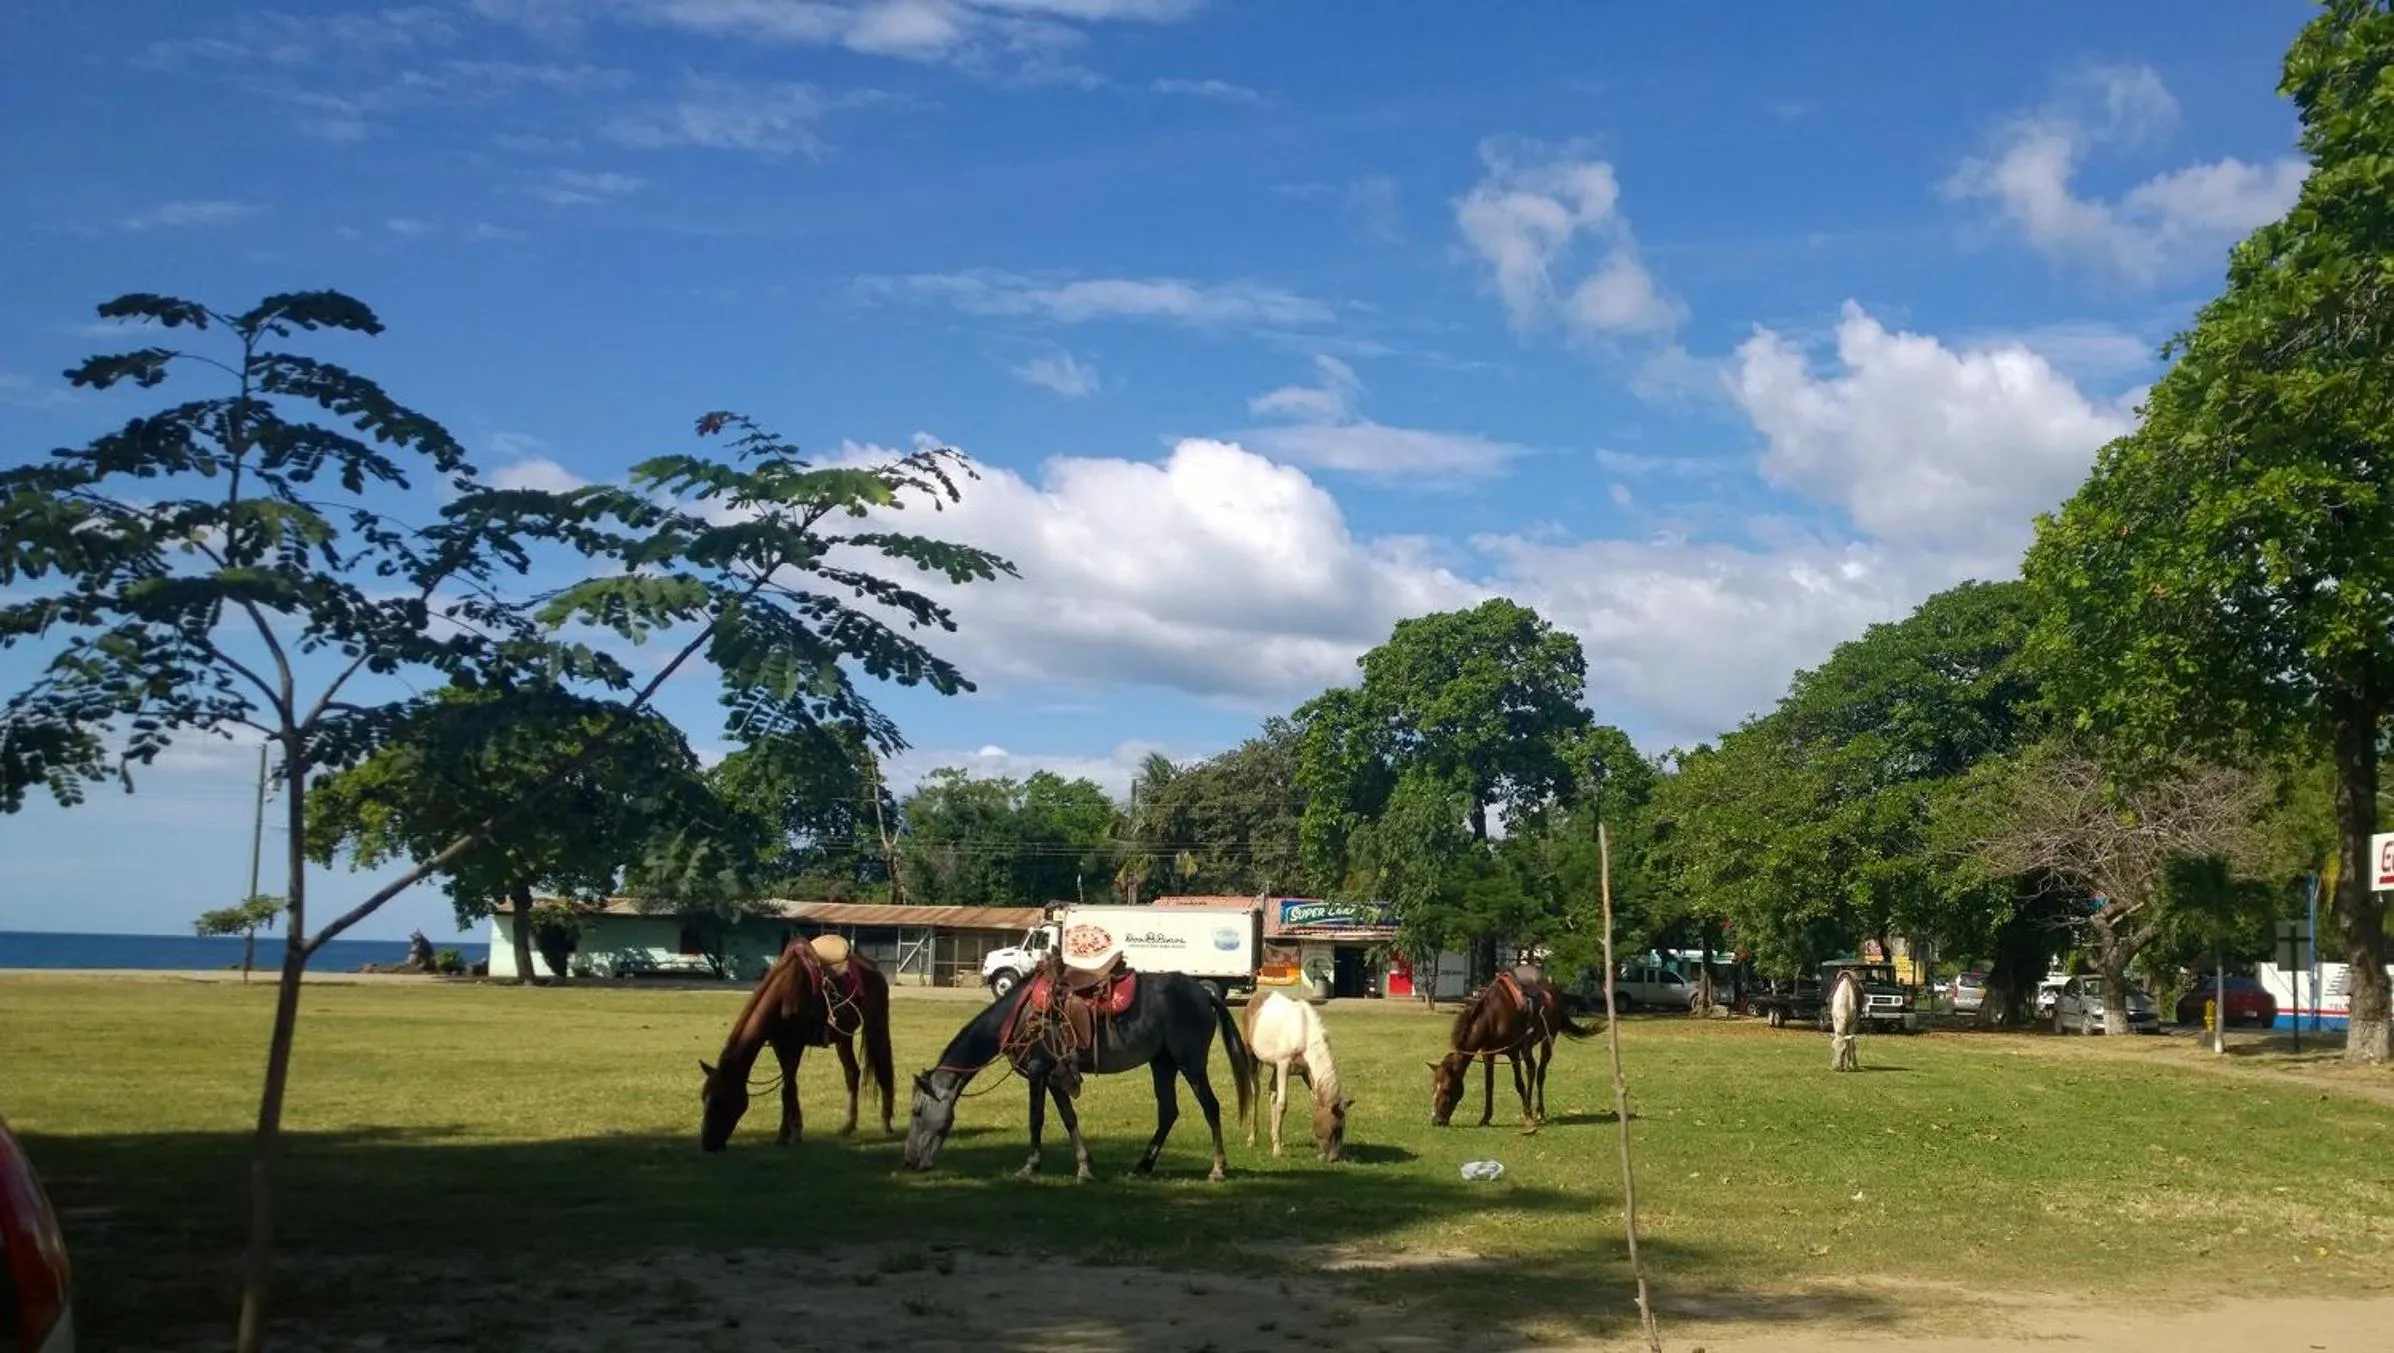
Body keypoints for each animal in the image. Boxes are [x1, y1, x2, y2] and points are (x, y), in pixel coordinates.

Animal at [697, 935, 895, 1152]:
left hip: (876, 1024)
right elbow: (790, 1087)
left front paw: (785, 1135)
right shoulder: (779, 1044)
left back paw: (886, 1123)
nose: (707, 1144)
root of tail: (874, 971)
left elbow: (787, 1089)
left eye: (719, 1101)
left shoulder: (795, 1045)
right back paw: (848, 1126)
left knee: (883, 1069)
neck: (783, 994)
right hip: (844, 1036)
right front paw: (793, 1132)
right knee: (852, 1073)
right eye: (703, 1098)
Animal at [901, 958, 1257, 1182]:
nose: (910, 1161)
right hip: (1163, 1064)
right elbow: (1069, 1118)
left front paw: (1030, 1166)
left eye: (917, 1111)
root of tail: (1205, 995)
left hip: (1190, 1062)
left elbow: (1036, 1118)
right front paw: (1085, 1168)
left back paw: (1217, 1168)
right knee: (1168, 1112)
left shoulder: (1038, 1071)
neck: (1020, 1015)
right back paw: (1142, 1166)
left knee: (1210, 1106)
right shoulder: (1055, 1077)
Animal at [1242, 991, 1352, 1161]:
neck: (1304, 1032)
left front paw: (1278, 1142)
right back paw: (1252, 1138)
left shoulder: (1306, 1072)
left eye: (1343, 1128)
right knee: (1256, 1093)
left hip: (1275, 1067)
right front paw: (1277, 1151)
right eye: (1334, 1128)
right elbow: (1282, 1104)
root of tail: (1254, 998)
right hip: (1252, 1057)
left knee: (1272, 1092)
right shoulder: (1284, 1066)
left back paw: (1276, 1135)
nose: (1333, 1158)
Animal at [1429, 968, 1596, 1130]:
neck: (1494, 1017)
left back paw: (1539, 1112)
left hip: (1548, 1040)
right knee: (1531, 1069)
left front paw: (1528, 1118)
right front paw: (1485, 1118)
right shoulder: (1488, 1054)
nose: (1436, 1121)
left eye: (1447, 1089)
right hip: (1527, 1048)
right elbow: (1489, 1085)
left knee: (1540, 1073)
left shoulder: (1513, 1052)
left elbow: (1519, 1084)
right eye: (1433, 1088)